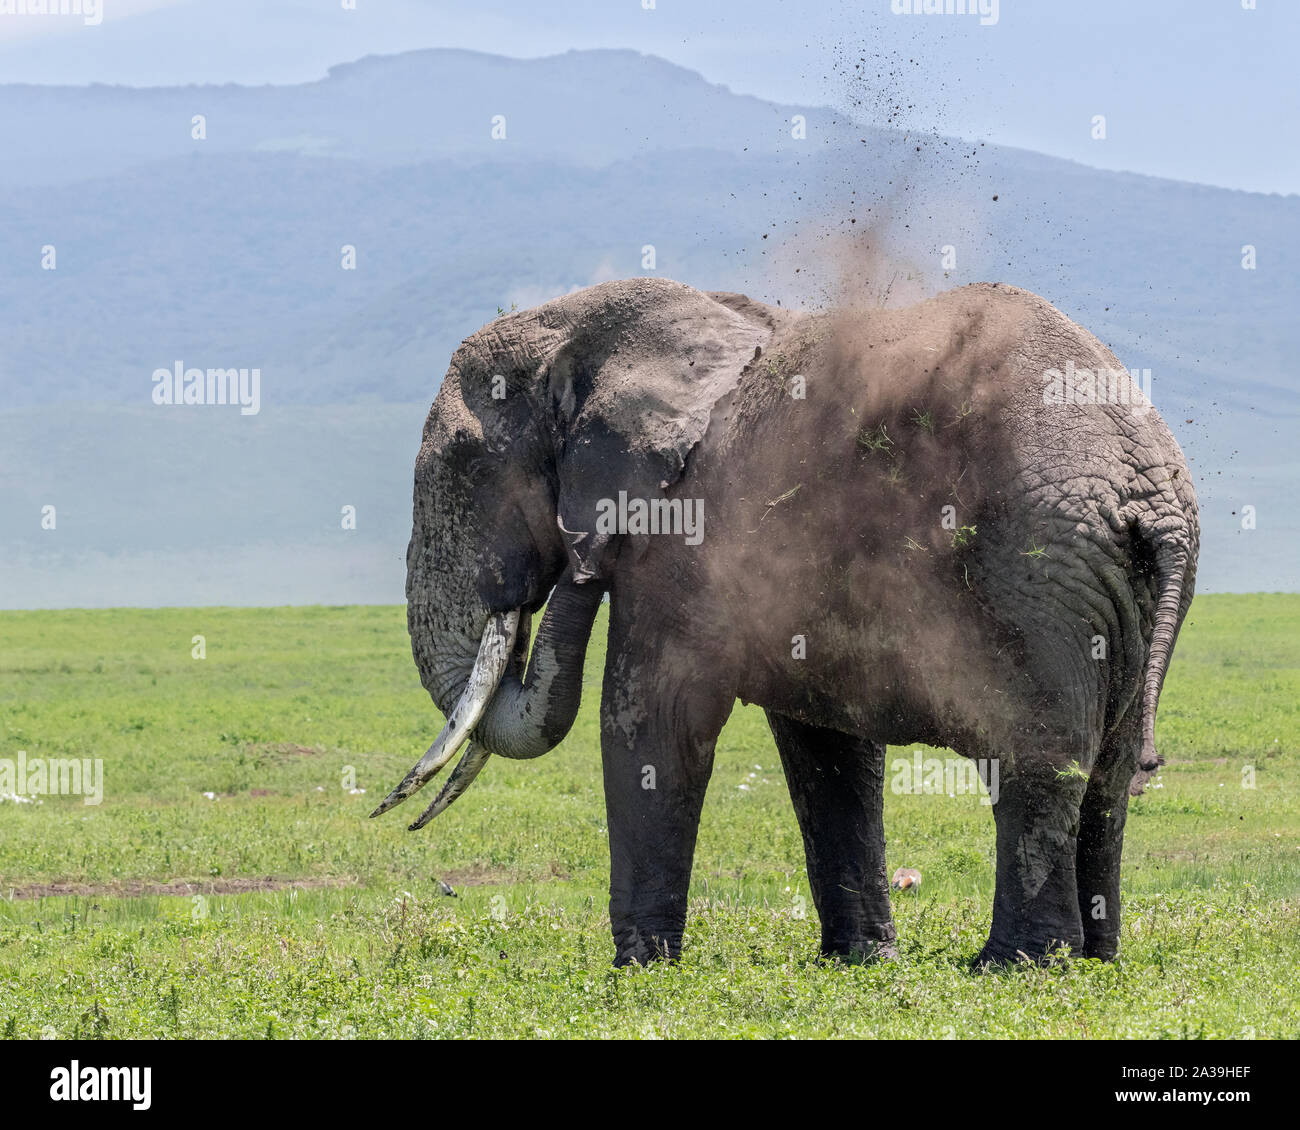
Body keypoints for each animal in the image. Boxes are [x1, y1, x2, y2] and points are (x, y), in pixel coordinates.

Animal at [373, 277, 1199, 969]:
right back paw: (1096, 959)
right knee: (1107, 778)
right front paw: (862, 962)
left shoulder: (684, 538)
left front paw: (640, 971)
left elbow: (655, 722)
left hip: (1038, 576)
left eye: (467, 465)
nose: (578, 562)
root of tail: (1150, 491)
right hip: (1111, 590)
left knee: (1039, 766)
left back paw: (1014, 966)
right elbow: (827, 750)